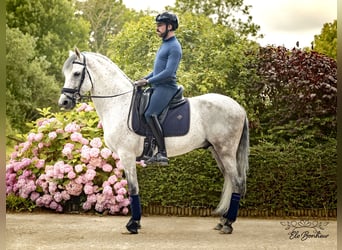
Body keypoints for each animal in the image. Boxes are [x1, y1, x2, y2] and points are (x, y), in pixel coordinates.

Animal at [58, 47, 250, 234]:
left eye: (76, 73)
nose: (64, 102)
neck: (119, 103)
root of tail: (239, 108)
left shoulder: (126, 155)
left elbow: (133, 188)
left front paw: (133, 223)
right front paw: (135, 222)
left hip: (226, 151)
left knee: (237, 183)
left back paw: (228, 223)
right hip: (216, 151)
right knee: (230, 180)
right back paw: (222, 221)